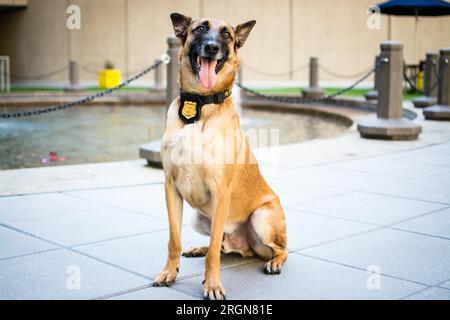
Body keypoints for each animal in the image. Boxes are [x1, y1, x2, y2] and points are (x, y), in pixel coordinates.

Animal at [155, 11, 286, 298]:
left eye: (226, 34)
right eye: (200, 29)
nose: (212, 47)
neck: (199, 105)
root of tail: (247, 248)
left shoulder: (220, 191)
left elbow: (214, 252)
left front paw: (213, 284)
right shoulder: (170, 187)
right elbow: (174, 240)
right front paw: (170, 272)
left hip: (262, 217)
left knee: (277, 249)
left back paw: (275, 262)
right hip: (198, 218)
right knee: (224, 246)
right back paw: (199, 248)